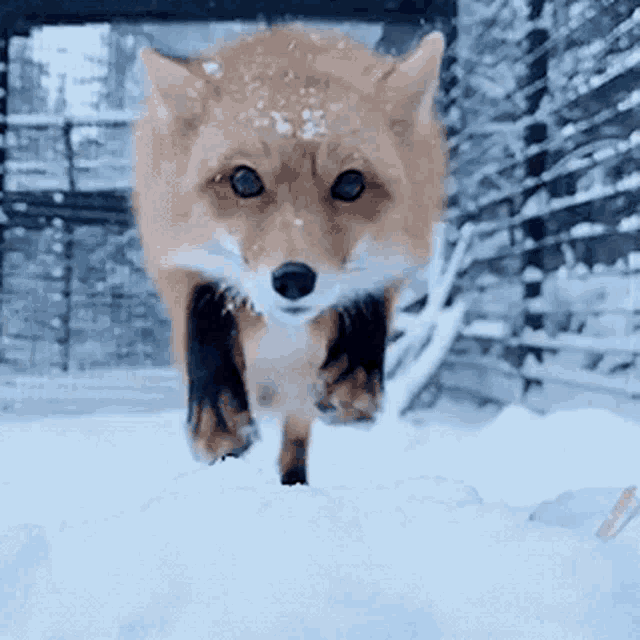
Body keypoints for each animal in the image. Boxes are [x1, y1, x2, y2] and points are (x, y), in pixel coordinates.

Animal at [133, 25, 447, 485]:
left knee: (295, 441)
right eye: (244, 180)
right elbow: (205, 310)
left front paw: (353, 386)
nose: (294, 279)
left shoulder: (401, 252)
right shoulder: (172, 254)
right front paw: (217, 421)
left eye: (350, 184)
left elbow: (367, 297)